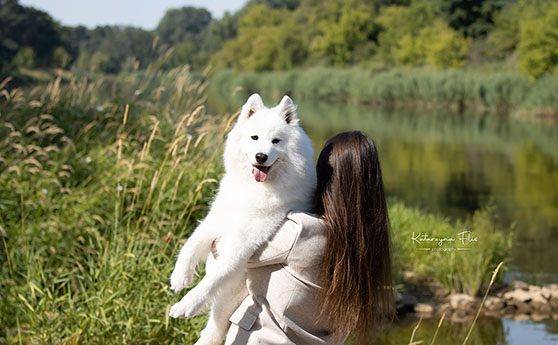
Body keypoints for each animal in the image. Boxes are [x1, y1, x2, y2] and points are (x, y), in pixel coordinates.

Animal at [168, 92, 318, 344]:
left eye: (276, 141)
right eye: (254, 137)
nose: (261, 156)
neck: (254, 189)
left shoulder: (241, 244)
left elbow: (213, 278)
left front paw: (187, 304)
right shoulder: (216, 219)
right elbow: (191, 244)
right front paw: (180, 276)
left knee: (217, 326)